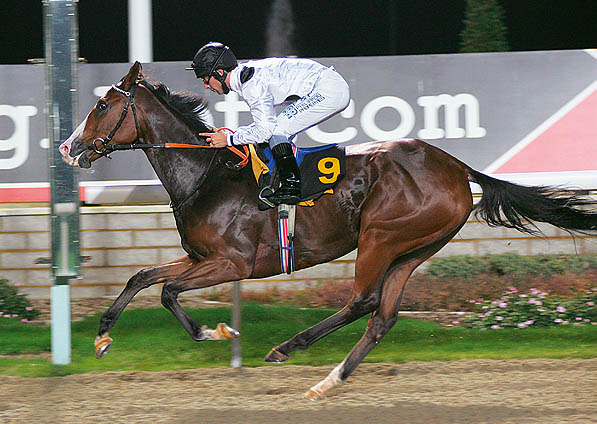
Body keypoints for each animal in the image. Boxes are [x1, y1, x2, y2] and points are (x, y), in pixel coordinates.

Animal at [59, 61, 596, 400]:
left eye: (103, 106)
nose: (68, 147)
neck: (206, 174)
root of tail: (456, 165)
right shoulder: (199, 258)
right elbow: (141, 278)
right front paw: (102, 338)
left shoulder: (232, 262)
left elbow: (168, 291)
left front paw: (214, 330)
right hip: (414, 247)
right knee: (382, 316)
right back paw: (328, 381)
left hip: (381, 236)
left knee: (362, 301)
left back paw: (288, 349)